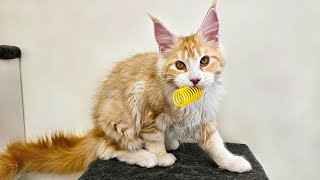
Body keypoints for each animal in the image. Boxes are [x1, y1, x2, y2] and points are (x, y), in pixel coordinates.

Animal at [0, 2, 251, 179]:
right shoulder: (147, 109)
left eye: (204, 61)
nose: (195, 79)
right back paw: (144, 156)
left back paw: (171, 141)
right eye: (180, 65)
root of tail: (97, 129)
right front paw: (161, 156)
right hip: (119, 119)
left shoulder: (204, 116)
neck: (191, 98)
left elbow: (216, 144)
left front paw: (231, 162)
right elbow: (153, 138)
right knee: (108, 149)